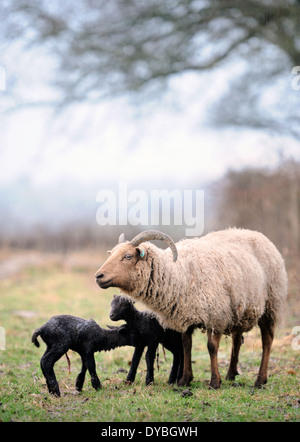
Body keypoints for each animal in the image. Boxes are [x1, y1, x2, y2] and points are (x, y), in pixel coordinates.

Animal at [95, 230, 288, 388]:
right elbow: (186, 346)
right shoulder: (185, 315)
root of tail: (259, 235)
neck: (178, 273)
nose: (98, 276)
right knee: (237, 339)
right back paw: (231, 374)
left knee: (267, 340)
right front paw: (184, 380)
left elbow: (211, 347)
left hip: (271, 305)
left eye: (128, 256)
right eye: (111, 254)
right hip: (238, 310)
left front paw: (214, 382)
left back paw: (260, 380)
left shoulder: (216, 315)